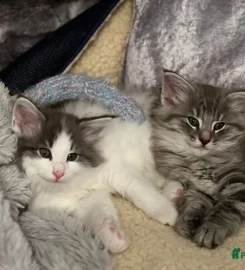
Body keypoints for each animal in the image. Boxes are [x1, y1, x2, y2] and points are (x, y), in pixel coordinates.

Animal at [152, 70, 245, 249]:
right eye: (193, 121)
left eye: (219, 125)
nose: (204, 140)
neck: (202, 163)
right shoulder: (199, 188)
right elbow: (195, 202)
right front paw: (188, 220)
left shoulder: (239, 182)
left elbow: (226, 210)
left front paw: (211, 230)